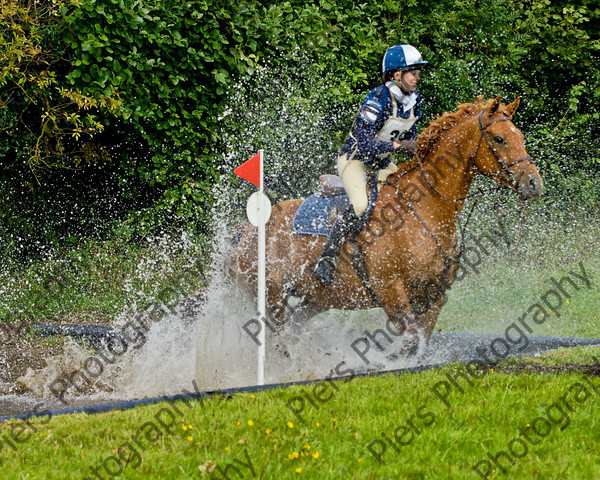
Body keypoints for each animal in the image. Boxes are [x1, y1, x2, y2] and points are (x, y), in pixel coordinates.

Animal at [230, 95, 544, 358]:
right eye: (500, 138)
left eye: (521, 137)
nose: (534, 184)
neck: (425, 211)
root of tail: (247, 230)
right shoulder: (390, 290)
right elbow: (409, 340)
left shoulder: (433, 296)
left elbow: (419, 344)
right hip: (272, 298)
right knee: (277, 338)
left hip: (316, 298)